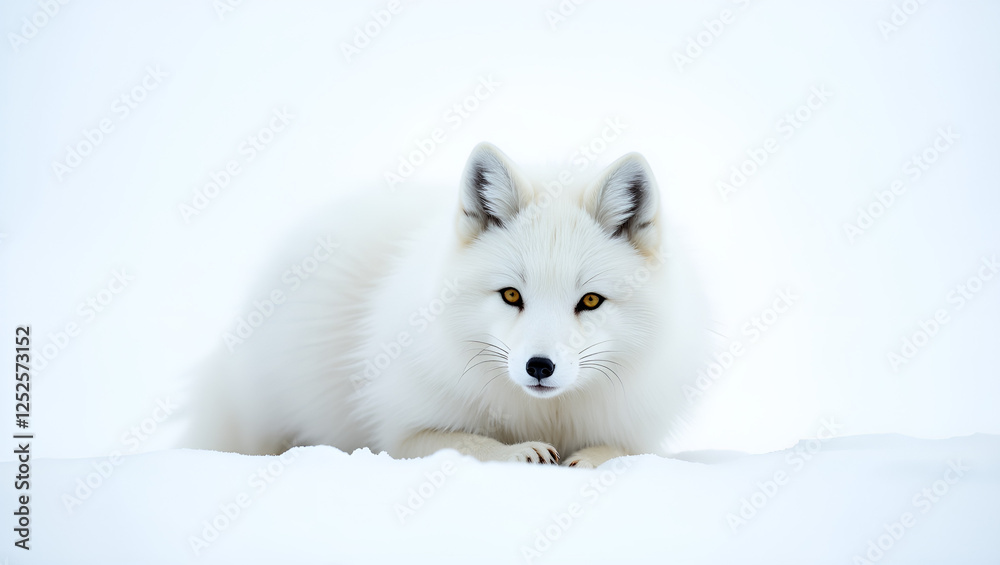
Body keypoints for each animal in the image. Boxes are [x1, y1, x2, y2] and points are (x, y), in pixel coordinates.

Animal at [181, 142, 706, 468]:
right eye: (511, 295)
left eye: (590, 300)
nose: (539, 366)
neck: (541, 414)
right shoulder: (401, 434)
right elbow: (469, 442)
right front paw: (519, 453)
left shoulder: (637, 433)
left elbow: (623, 451)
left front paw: (590, 458)